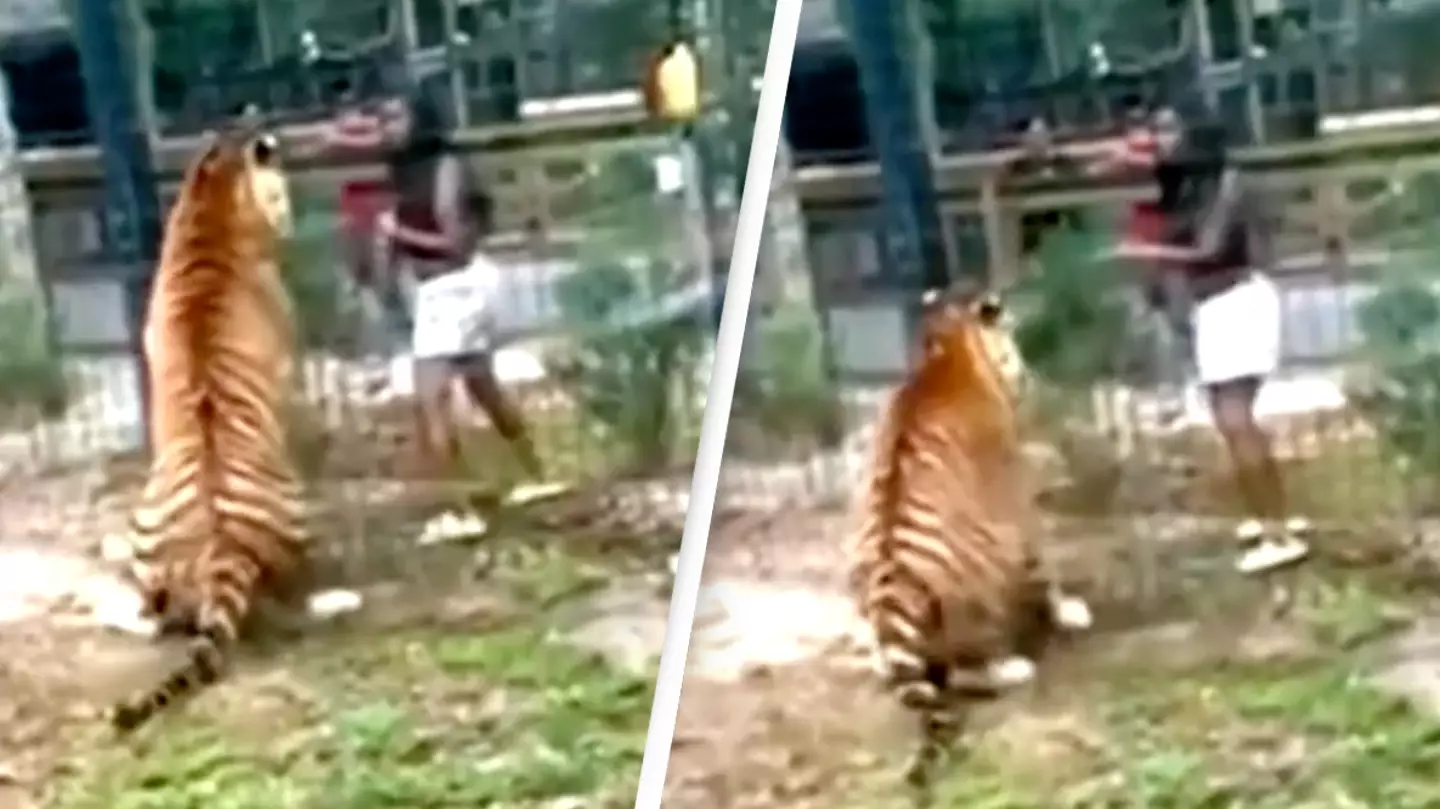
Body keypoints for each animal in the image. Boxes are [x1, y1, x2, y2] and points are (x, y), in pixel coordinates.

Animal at [840, 285, 1088, 794]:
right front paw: (1069, 610)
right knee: (965, 674)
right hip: (982, 602)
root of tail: (891, 593)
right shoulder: (1020, 508)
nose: (1027, 374)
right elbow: (1046, 567)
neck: (947, 351)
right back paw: (1013, 666)